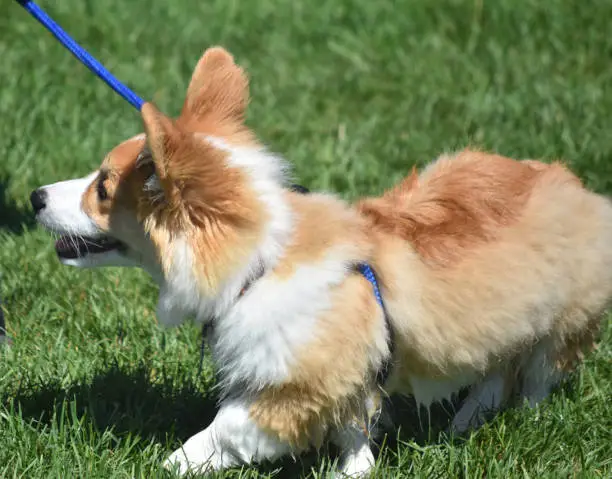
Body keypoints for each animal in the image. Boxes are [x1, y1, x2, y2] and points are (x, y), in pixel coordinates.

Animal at [32, 47, 612, 476]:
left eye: (103, 188)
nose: (36, 196)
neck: (257, 266)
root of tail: (573, 183)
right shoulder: (349, 379)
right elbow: (354, 432)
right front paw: (355, 470)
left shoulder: (295, 389)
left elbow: (220, 431)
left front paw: (165, 464)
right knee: (497, 369)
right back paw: (464, 423)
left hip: (560, 325)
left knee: (536, 376)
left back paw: (513, 419)